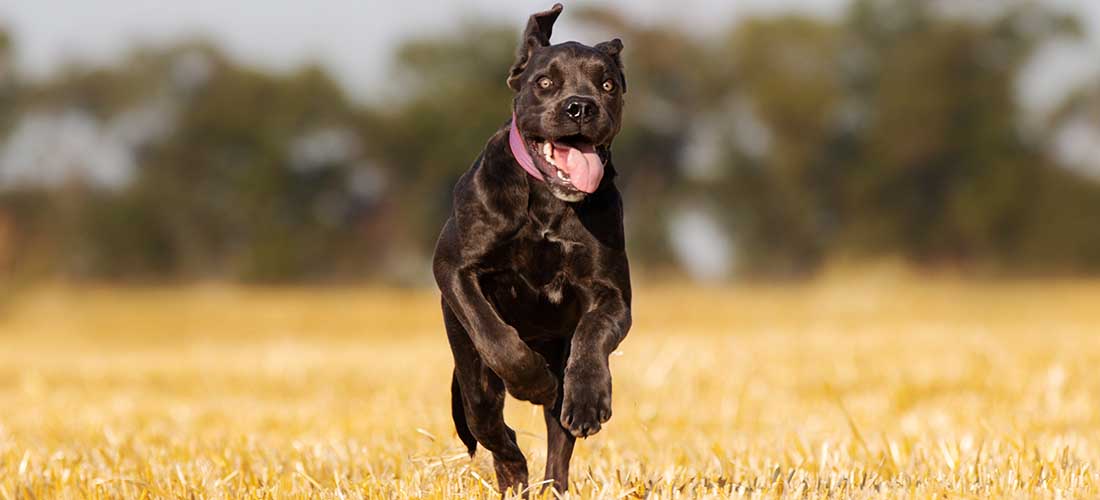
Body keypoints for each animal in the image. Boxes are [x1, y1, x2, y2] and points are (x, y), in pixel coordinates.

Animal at [433, 3, 633, 494]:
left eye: (607, 84)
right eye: (545, 83)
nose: (580, 106)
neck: (546, 200)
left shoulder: (613, 293)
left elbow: (592, 334)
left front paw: (589, 397)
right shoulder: (454, 266)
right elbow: (494, 333)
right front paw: (533, 382)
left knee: (558, 440)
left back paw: (551, 484)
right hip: (468, 369)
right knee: (488, 421)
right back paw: (513, 473)